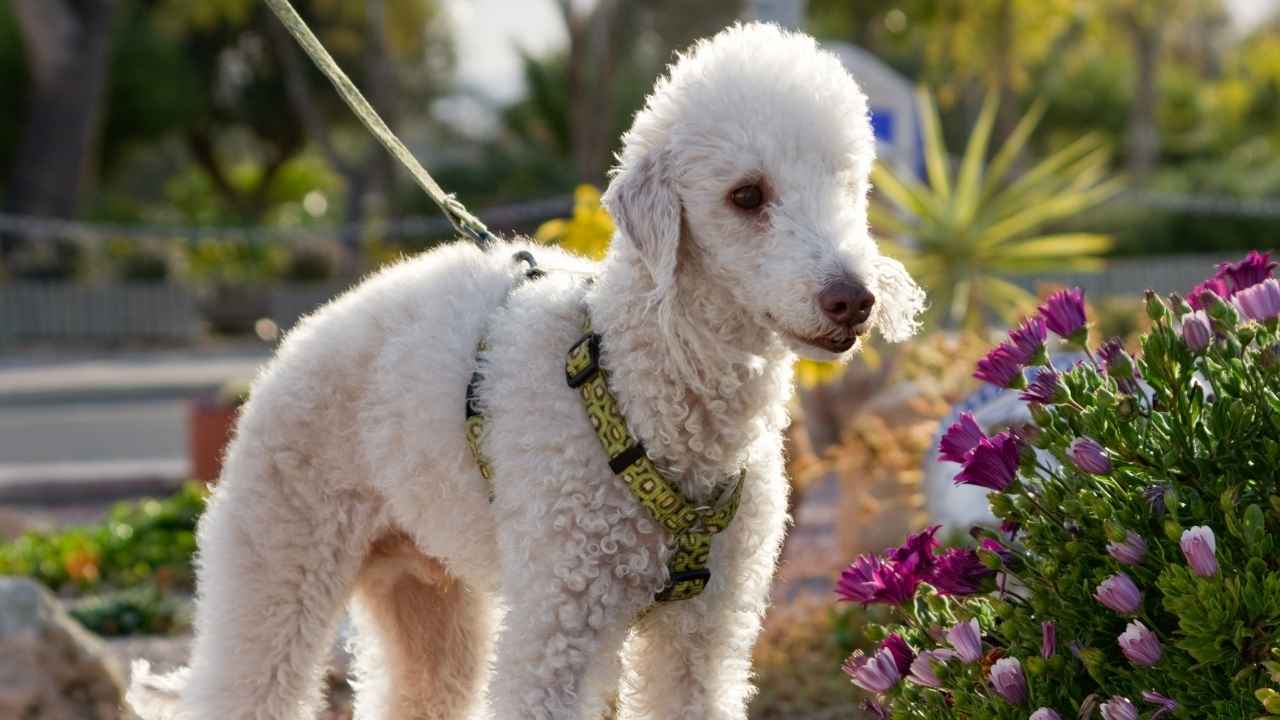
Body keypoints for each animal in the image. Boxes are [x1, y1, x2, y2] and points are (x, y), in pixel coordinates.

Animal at [129, 22, 926, 717]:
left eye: (850, 187)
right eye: (747, 195)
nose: (853, 298)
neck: (642, 392)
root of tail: (289, 346)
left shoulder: (705, 634)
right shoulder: (558, 623)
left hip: (426, 591)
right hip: (278, 553)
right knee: (249, 675)